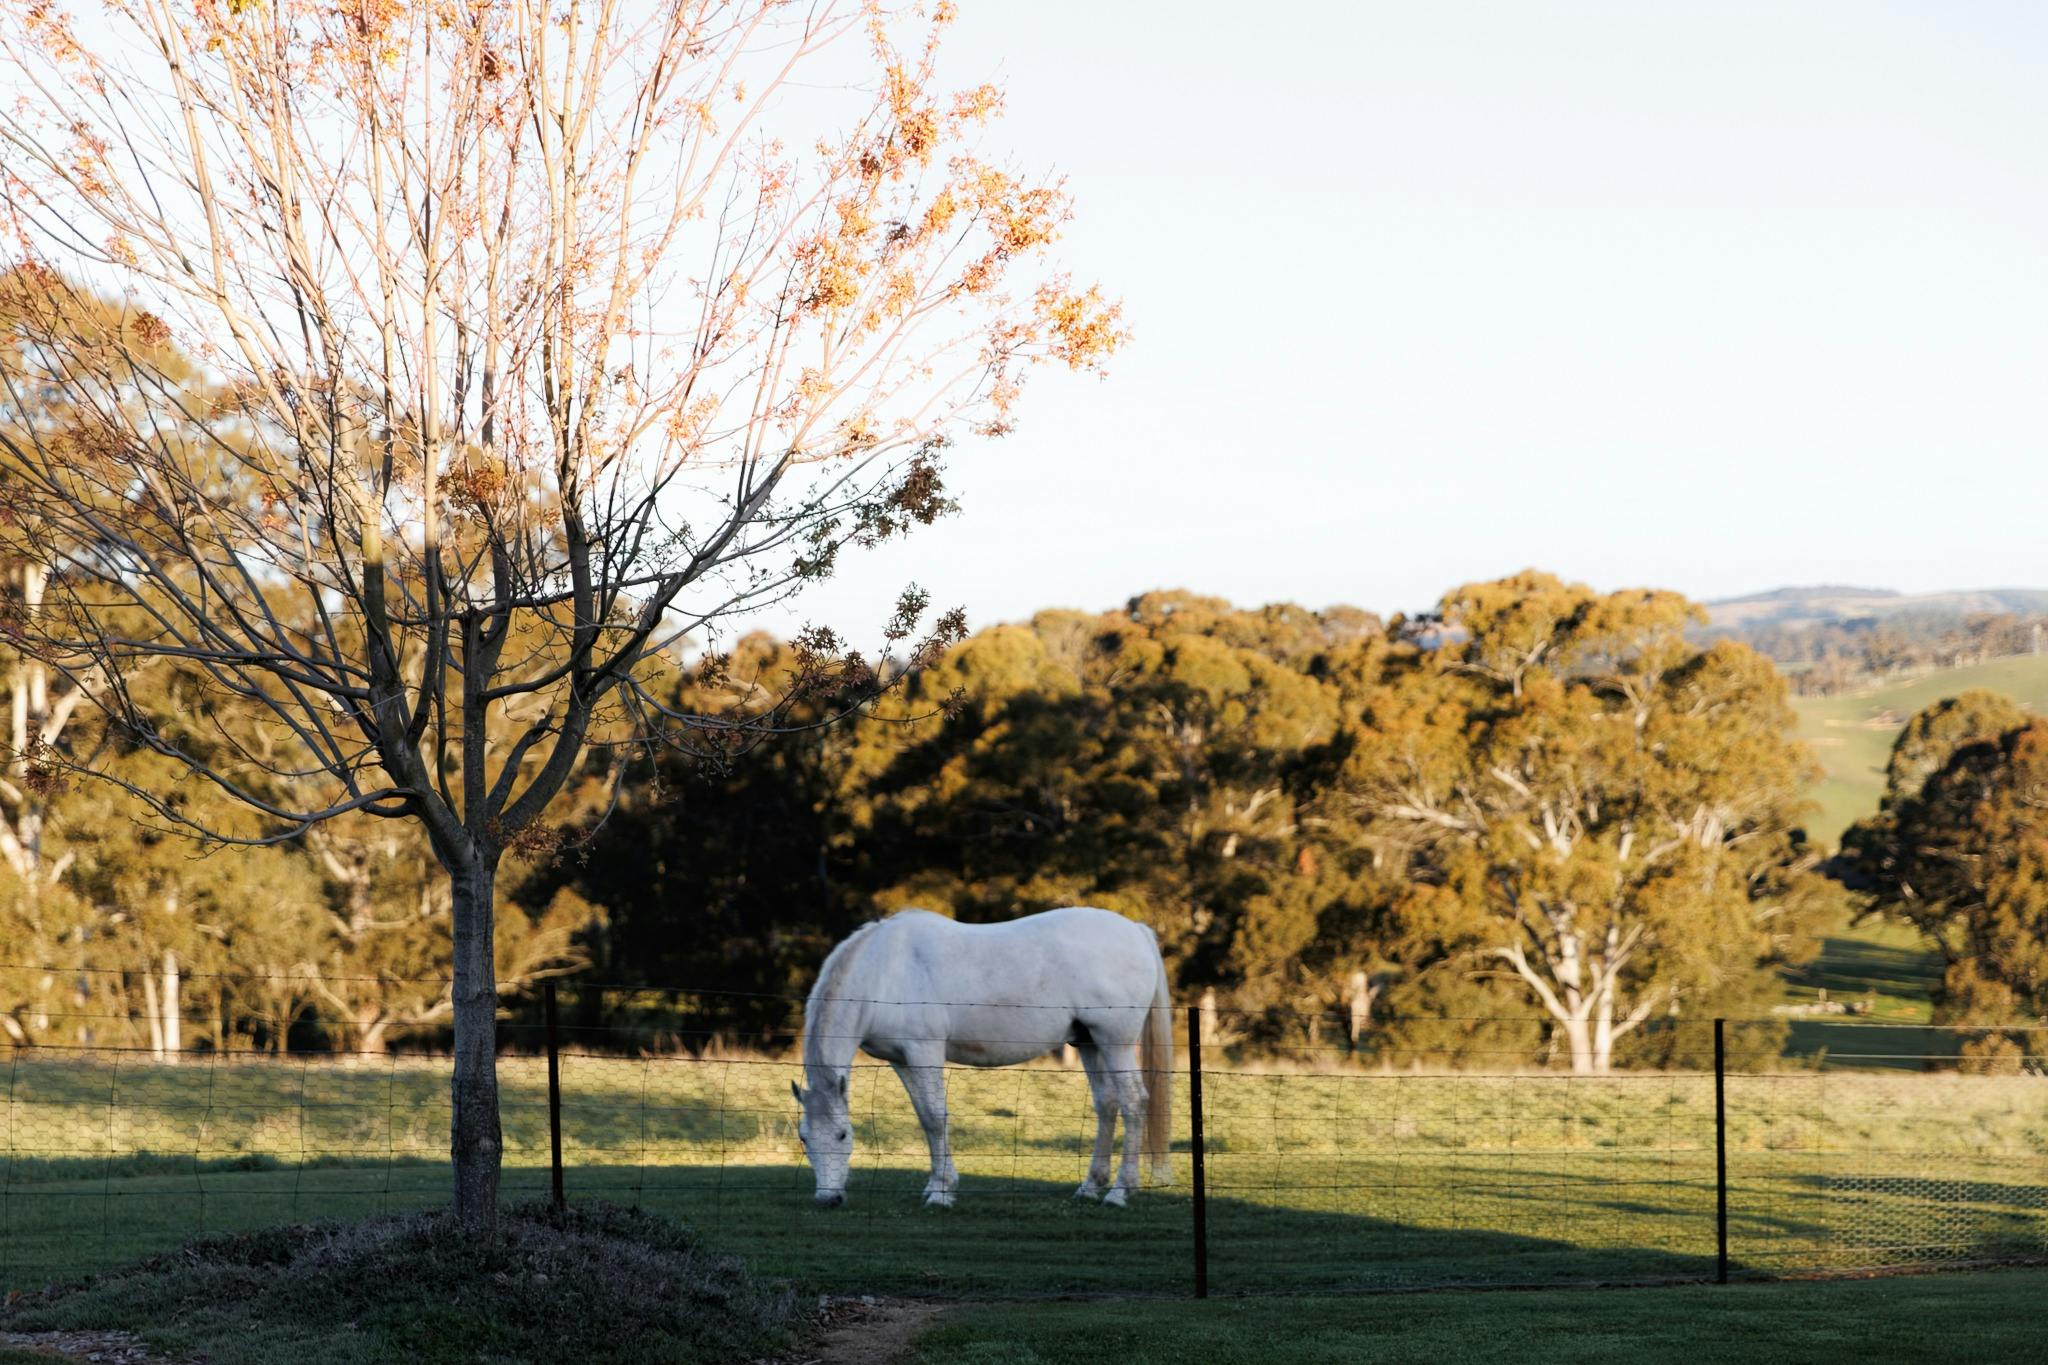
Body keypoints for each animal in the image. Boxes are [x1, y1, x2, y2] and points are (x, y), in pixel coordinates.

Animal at [791, 906, 1174, 1209]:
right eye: (804, 1137)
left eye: (843, 1135)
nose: (828, 1199)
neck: (883, 971)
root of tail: (1135, 930)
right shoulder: (901, 1061)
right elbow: (924, 1117)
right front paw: (935, 1184)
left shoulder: (924, 1051)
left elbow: (936, 1118)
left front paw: (942, 1193)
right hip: (1090, 1043)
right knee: (1107, 1105)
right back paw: (1090, 1187)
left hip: (1115, 1042)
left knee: (1134, 1102)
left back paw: (1119, 1192)